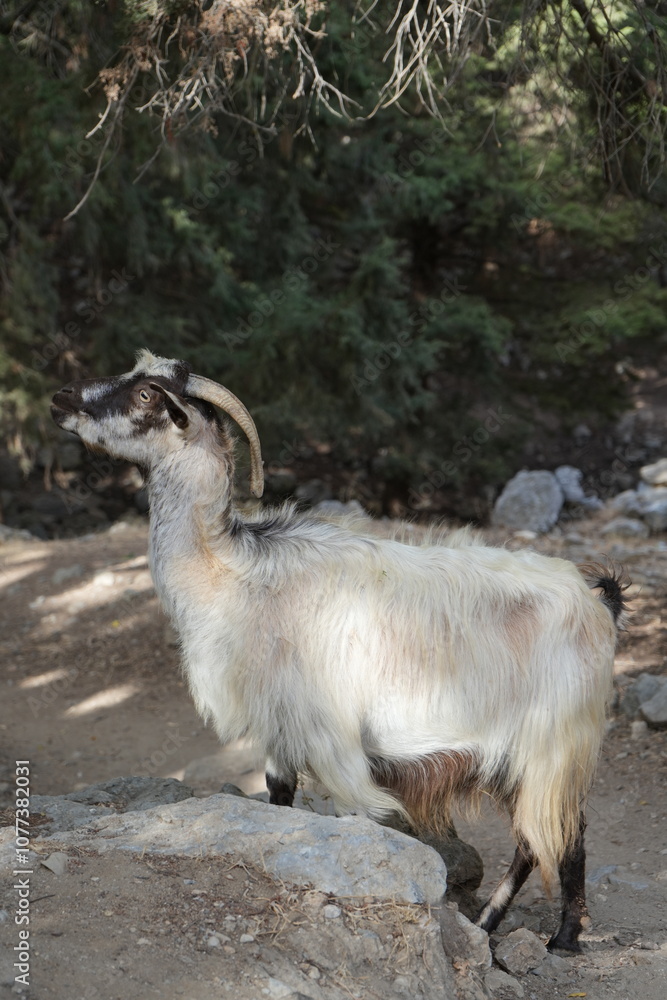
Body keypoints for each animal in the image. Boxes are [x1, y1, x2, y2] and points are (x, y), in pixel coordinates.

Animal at [51, 349, 626, 952]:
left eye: (146, 395)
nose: (62, 398)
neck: (231, 572)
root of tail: (599, 601)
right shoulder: (281, 725)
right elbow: (279, 794)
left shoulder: (330, 737)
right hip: (518, 756)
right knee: (535, 840)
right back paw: (490, 925)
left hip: (555, 742)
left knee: (559, 835)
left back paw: (561, 938)